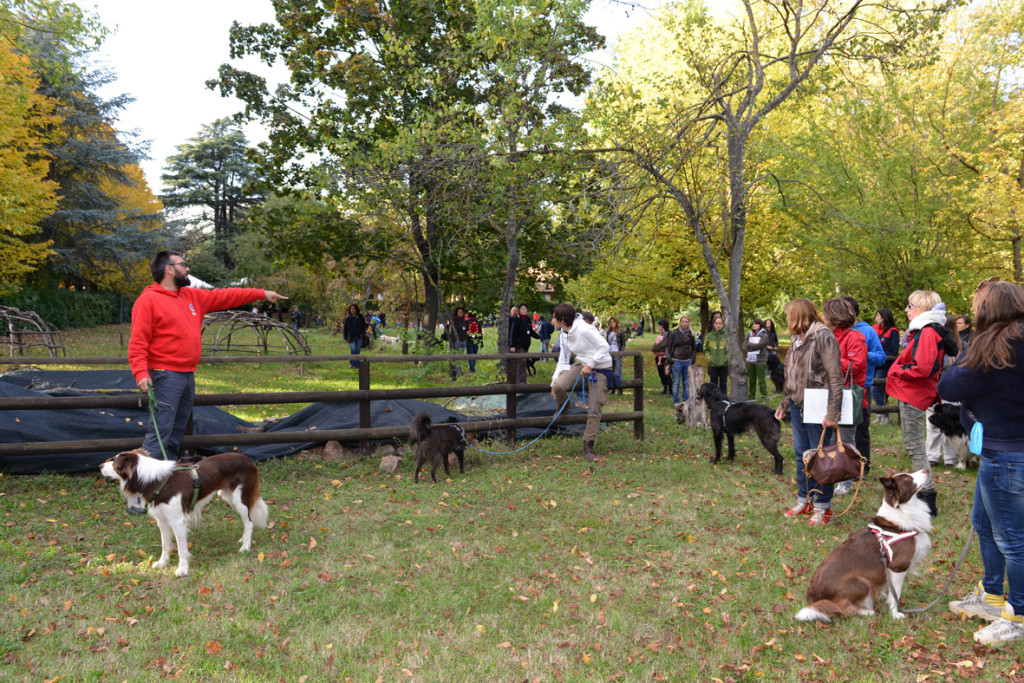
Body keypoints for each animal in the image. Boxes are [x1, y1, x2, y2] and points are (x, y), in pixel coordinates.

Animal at [98, 448, 268, 577]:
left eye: (114, 462)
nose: (99, 465)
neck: (157, 481)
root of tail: (248, 459)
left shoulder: (177, 521)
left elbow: (181, 548)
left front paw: (183, 569)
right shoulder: (162, 520)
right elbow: (165, 544)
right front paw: (162, 563)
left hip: (239, 498)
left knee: (249, 522)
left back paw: (246, 547)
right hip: (228, 497)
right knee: (246, 521)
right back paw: (243, 539)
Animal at [794, 471, 933, 626]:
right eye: (908, 478)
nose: (926, 471)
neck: (901, 511)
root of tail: (814, 597)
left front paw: (883, 596)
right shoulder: (898, 567)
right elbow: (895, 595)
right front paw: (895, 614)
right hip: (861, 582)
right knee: (841, 608)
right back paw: (866, 612)